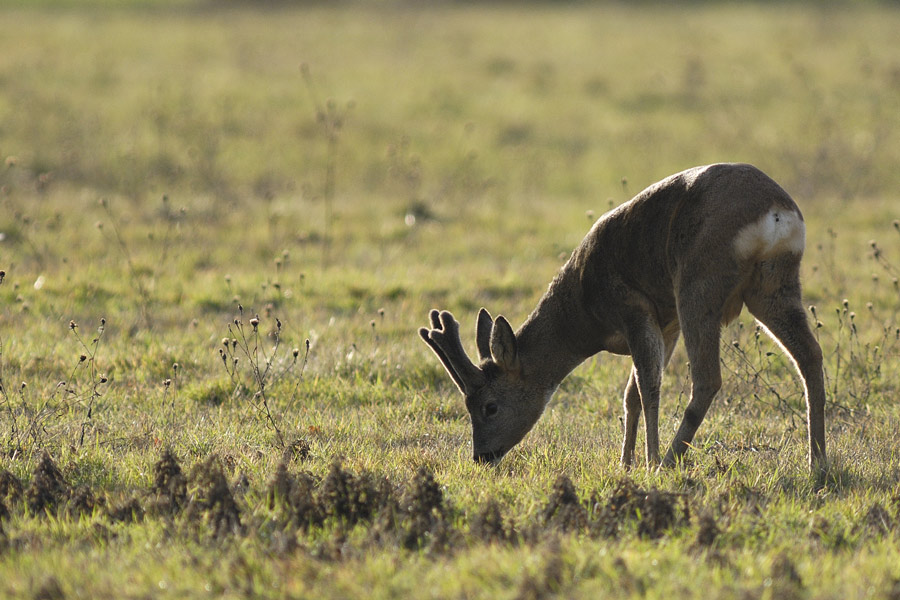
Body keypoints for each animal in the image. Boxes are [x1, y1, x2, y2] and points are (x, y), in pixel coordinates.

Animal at [418, 164, 828, 474]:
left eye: (489, 406)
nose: (481, 456)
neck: (585, 313)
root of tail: (776, 213)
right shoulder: (665, 322)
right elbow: (631, 393)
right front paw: (624, 463)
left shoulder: (634, 307)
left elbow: (647, 387)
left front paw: (645, 462)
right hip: (774, 286)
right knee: (810, 356)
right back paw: (818, 463)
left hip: (698, 284)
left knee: (708, 378)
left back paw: (668, 462)